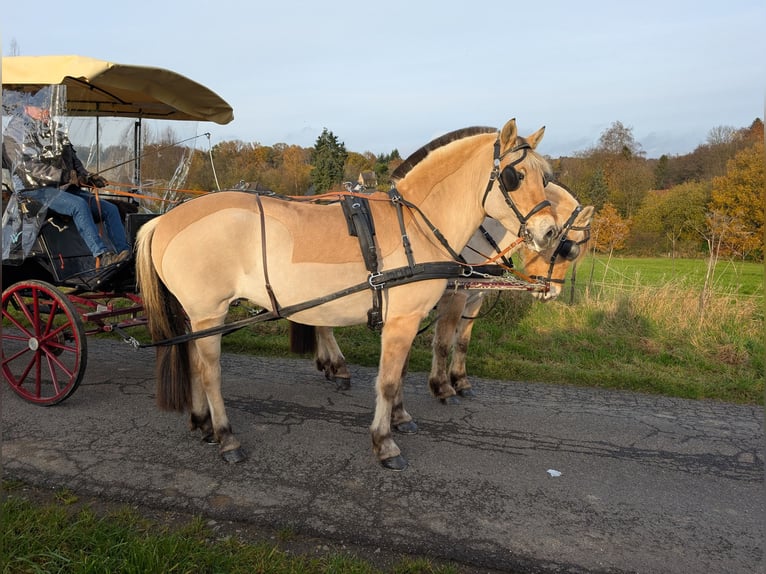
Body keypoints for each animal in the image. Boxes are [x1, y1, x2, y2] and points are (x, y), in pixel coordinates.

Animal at [136, 118, 560, 472]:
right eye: (516, 175)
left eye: (546, 177)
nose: (550, 232)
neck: (416, 225)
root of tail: (165, 218)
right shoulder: (402, 319)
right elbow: (387, 381)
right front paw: (385, 443)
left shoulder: (405, 318)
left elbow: (399, 373)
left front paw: (401, 419)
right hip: (209, 313)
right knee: (209, 373)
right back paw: (226, 437)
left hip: (196, 317)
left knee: (192, 361)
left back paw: (202, 423)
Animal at [304, 182, 596, 402]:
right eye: (568, 247)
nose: (552, 292)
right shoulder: (454, 295)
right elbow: (443, 343)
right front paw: (441, 386)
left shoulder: (474, 298)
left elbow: (463, 342)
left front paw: (460, 381)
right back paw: (339, 367)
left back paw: (327, 363)